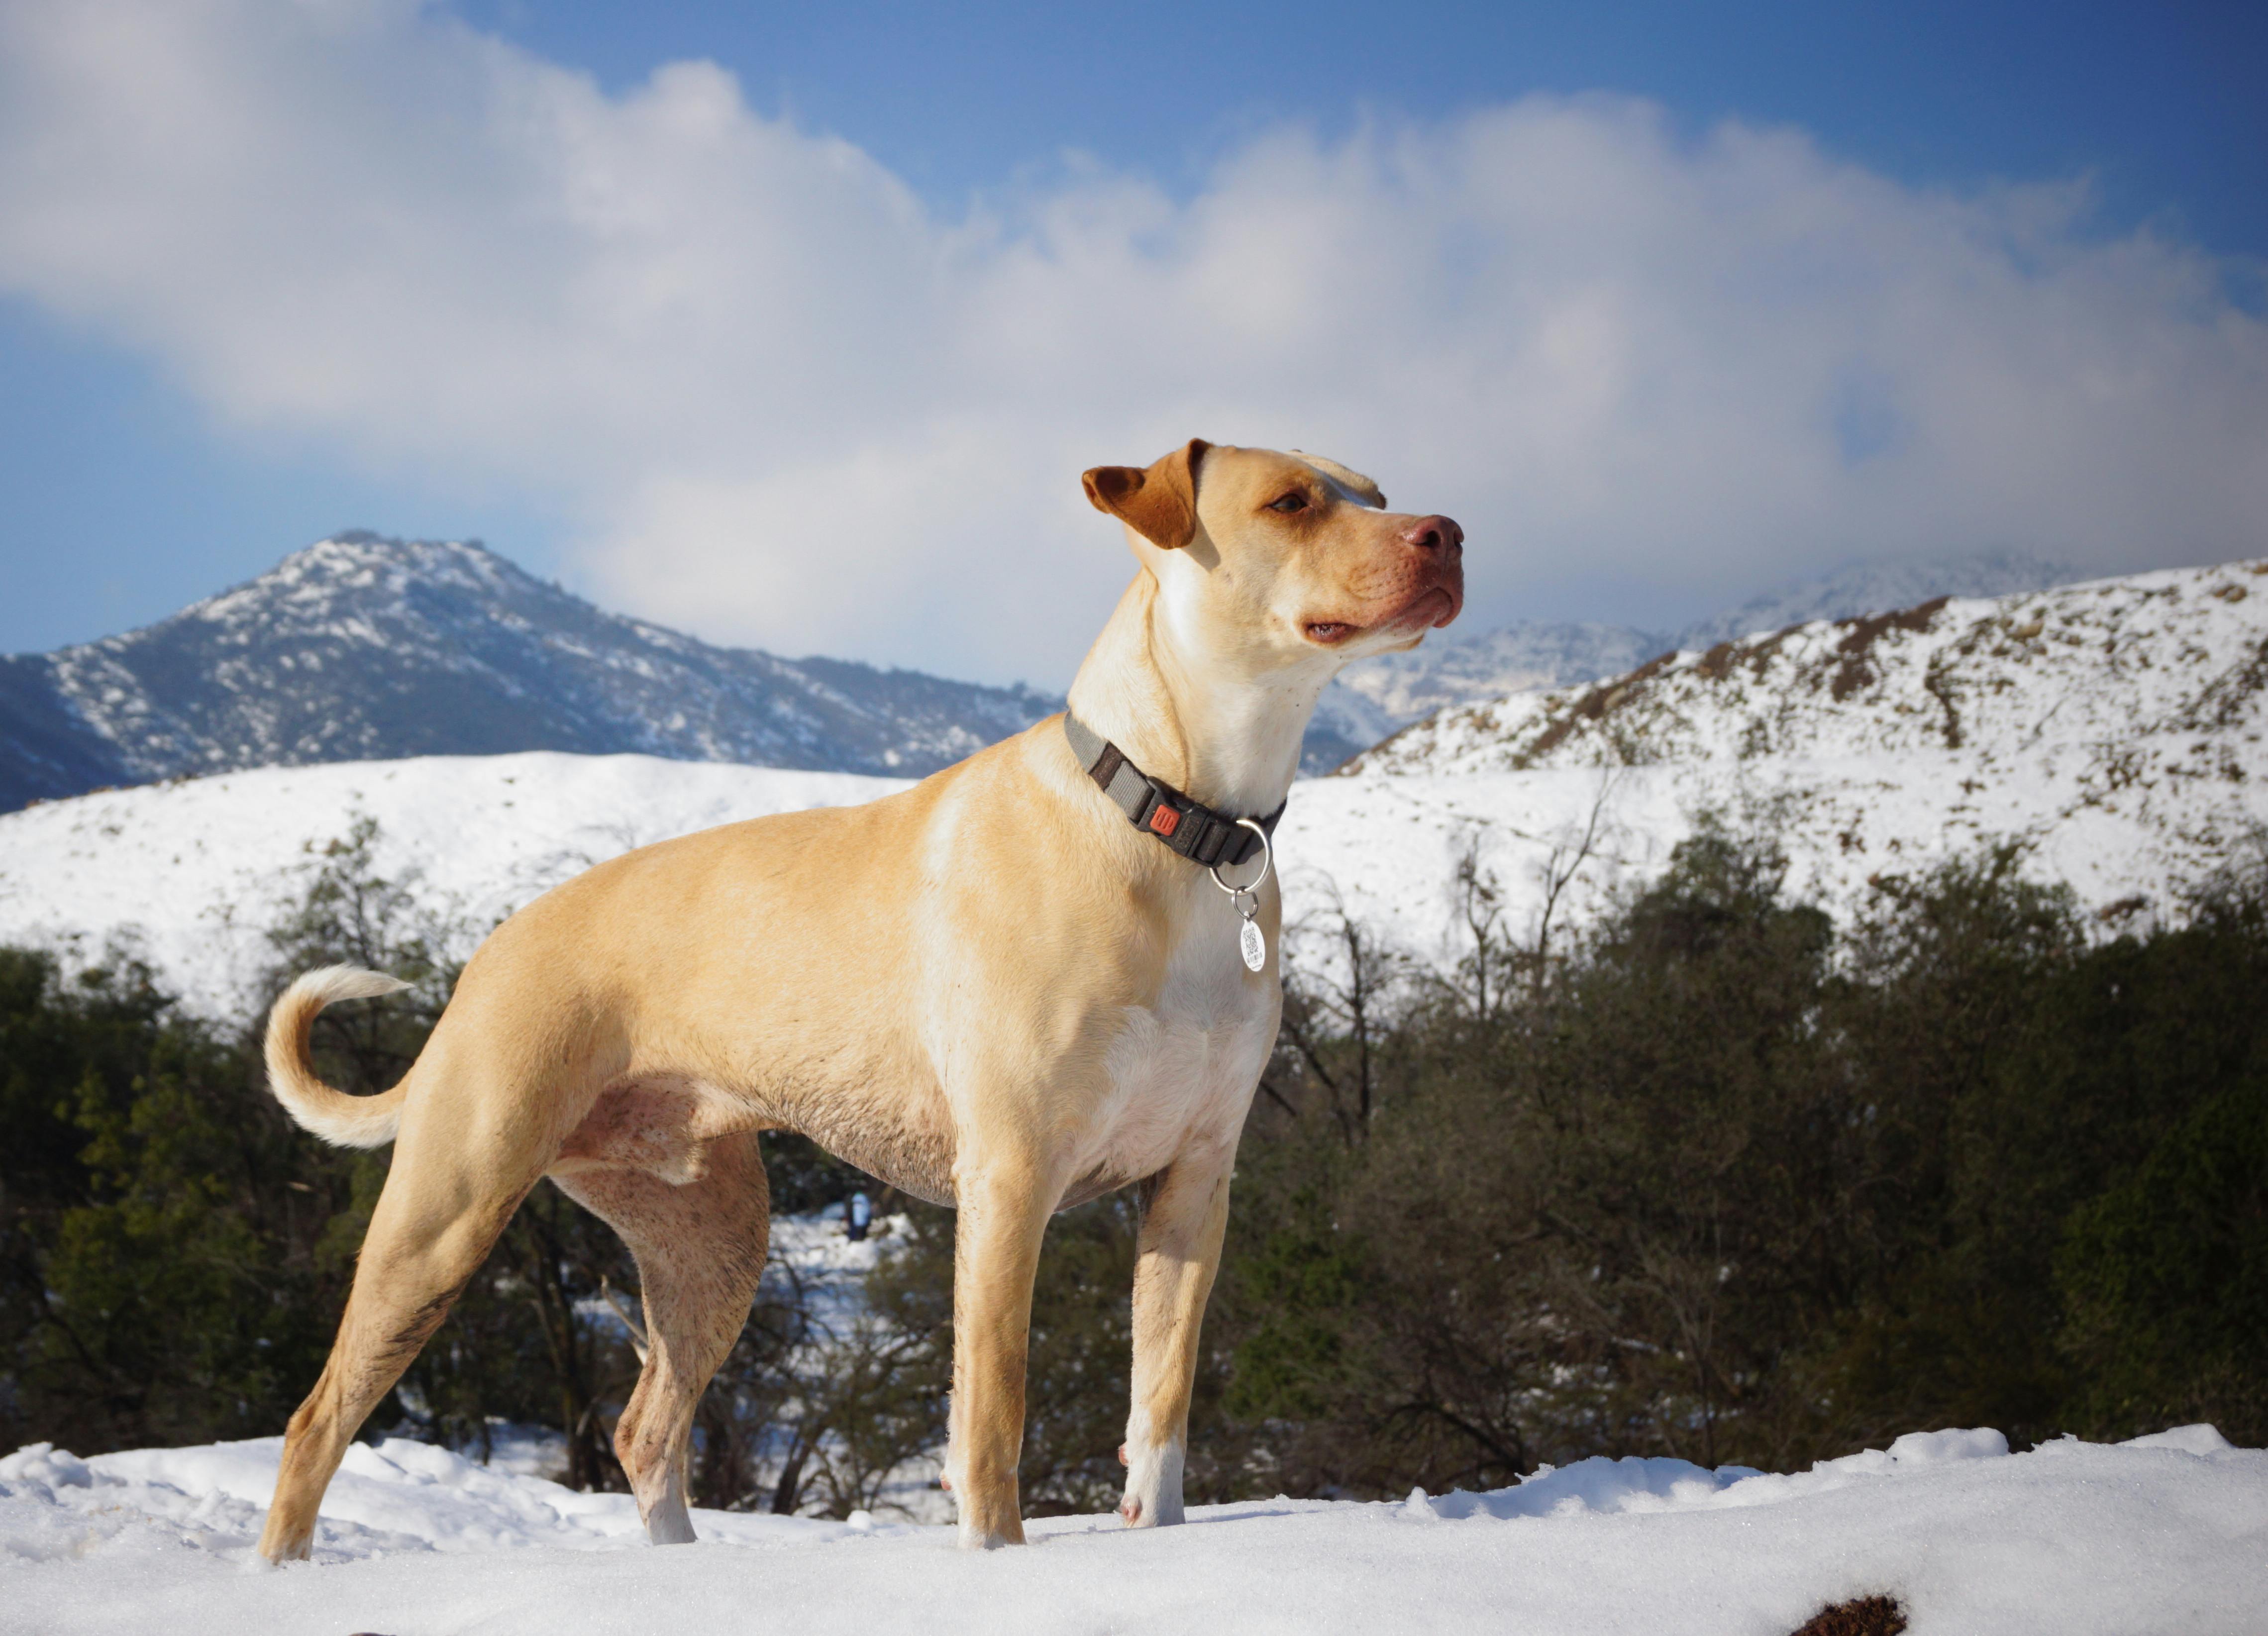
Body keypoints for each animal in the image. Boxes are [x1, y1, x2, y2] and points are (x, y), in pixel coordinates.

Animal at [257, 438, 1460, 1561]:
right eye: (1290, 501)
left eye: (1373, 489)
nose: (1444, 532)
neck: (1180, 822)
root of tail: (488, 954)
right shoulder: (1009, 1180)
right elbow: (992, 1415)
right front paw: (998, 1564)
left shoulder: (1195, 1184)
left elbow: (1159, 1409)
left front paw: (1156, 1545)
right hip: (449, 1210)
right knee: (318, 1420)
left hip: (710, 1238)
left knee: (648, 1428)